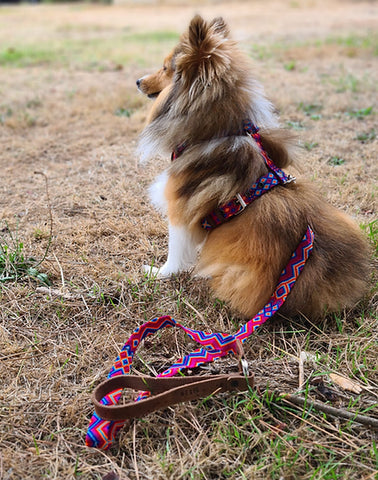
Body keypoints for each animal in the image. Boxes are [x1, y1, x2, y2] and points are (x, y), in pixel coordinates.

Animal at [136, 16, 370, 320]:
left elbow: (174, 252)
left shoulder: (179, 209)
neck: (215, 130)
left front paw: (158, 273)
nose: (137, 81)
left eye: (165, 68)